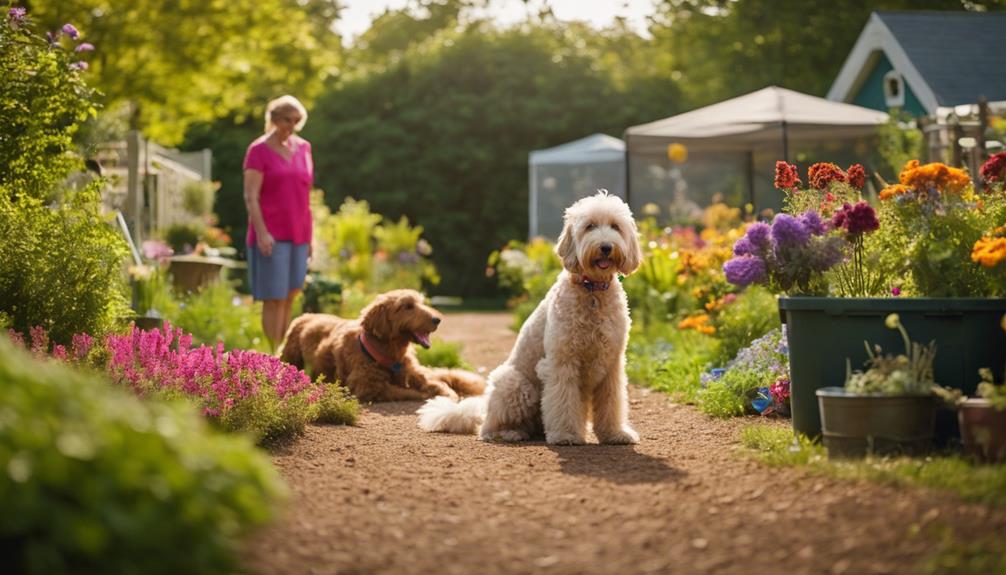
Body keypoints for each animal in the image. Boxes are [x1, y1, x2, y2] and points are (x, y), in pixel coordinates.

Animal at [279, 289, 486, 402]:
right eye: (407, 306)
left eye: (421, 302)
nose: (437, 319)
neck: (392, 354)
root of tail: (305, 315)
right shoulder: (370, 386)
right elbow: (408, 392)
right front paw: (426, 394)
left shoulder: (414, 373)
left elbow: (436, 383)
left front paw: (446, 391)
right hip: (290, 357)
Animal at [418, 190, 643, 446]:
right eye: (590, 226)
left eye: (615, 226)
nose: (605, 246)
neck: (592, 291)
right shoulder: (561, 362)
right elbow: (562, 401)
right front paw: (565, 435)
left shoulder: (612, 365)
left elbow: (612, 403)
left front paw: (615, 434)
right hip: (514, 384)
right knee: (487, 428)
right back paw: (509, 432)